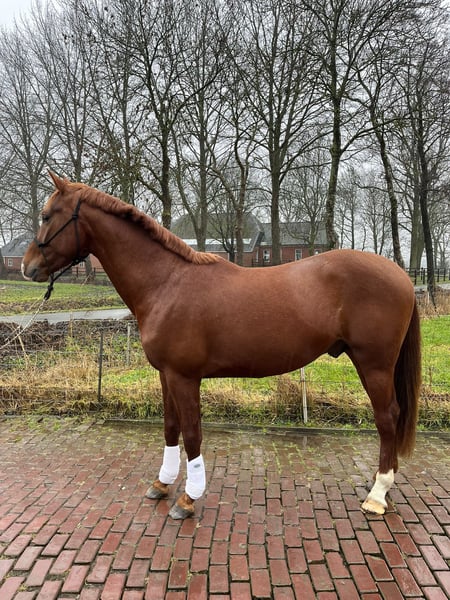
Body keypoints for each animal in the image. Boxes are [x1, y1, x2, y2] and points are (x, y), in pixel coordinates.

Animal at [22, 172, 421, 519]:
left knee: (388, 418)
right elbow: (170, 427)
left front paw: (187, 499)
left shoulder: (184, 377)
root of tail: (401, 276)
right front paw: (162, 484)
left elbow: (193, 433)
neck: (166, 282)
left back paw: (377, 495)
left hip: (374, 365)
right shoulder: (166, 375)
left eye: (47, 215)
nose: (27, 267)